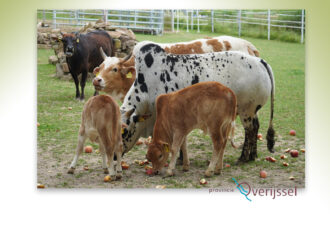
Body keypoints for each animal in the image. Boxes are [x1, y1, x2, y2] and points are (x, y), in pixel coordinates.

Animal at [120, 42, 274, 162]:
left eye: (124, 131)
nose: (116, 155)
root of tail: (260, 62)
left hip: (246, 111)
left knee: (250, 130)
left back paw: (244, 157)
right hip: (252, 111)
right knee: (256, 127)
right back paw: (253, 155)